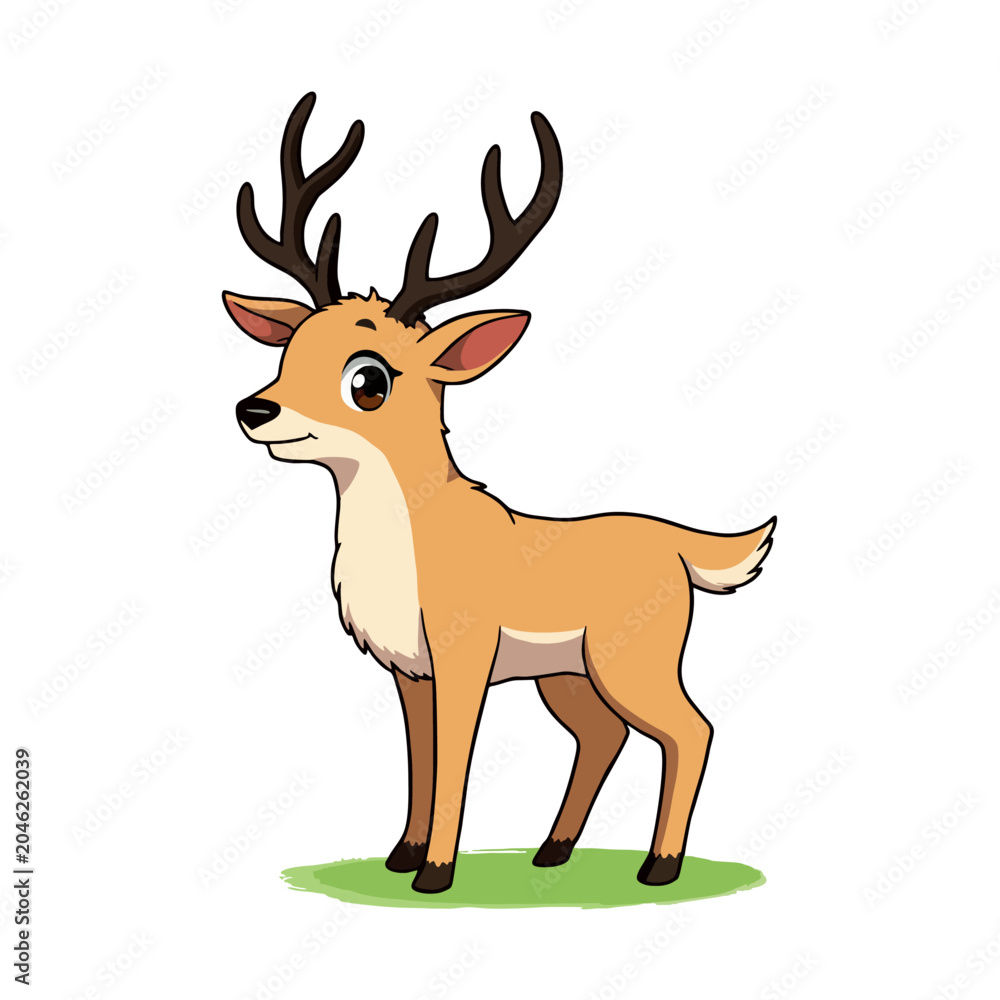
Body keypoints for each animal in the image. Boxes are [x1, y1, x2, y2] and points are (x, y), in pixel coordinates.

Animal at [225, 93, 776, 894]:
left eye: (369, 378)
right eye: (289, 351)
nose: (255, 409)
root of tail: (682, 547)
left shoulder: (465, 656)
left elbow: (456, 757)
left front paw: (435, 873)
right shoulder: (409, 670)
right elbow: (419, 759)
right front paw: (402, 855)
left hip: (631, 659)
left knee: (690, 728)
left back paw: (659, 867)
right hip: (569, 676)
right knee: (605, 736)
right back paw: (553, 851)